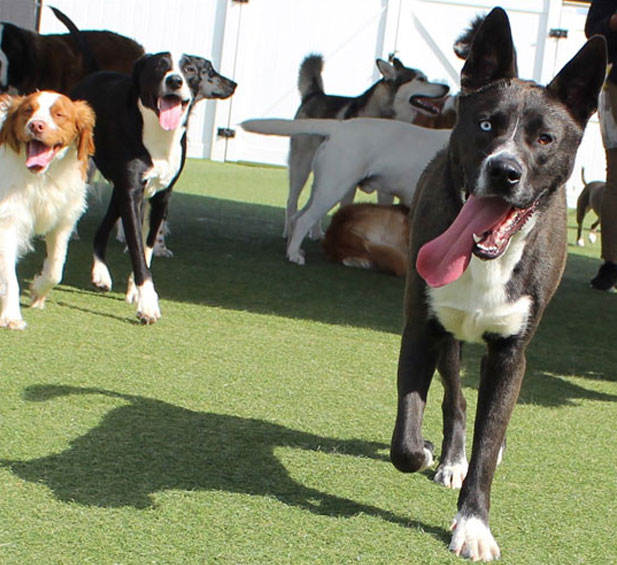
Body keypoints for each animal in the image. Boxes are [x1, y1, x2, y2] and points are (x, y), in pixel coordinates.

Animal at [0, 91, 94, 328]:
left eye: (59, 114)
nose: (36, 125)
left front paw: (38, 291)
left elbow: (55, 271)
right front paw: (11, 316)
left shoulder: (63, 221)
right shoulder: (7, 221)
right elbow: (10, 277)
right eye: (27, 110)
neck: (43, 177)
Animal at [72, 54, 236, 324]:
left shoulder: (159, 196)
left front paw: (135, 292)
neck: (160, 135)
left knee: (103, 227)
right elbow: (138, 251)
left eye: (190, 69)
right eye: (160, 67)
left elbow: (146, 247)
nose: (174, 80)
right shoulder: (132, 195)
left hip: (119, 191)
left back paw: (101, 273)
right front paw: (148, 305)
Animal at [390, 7, 608, 560]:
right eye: (487, 124)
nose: (505, 171)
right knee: (456, 399)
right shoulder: (422, 329)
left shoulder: (512, 352)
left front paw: (473, 525)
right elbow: (407, 440)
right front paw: (428, 452)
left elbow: (490, 440)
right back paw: (448, 457)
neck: (483, 258)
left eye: (545, 139)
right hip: (449, 340)